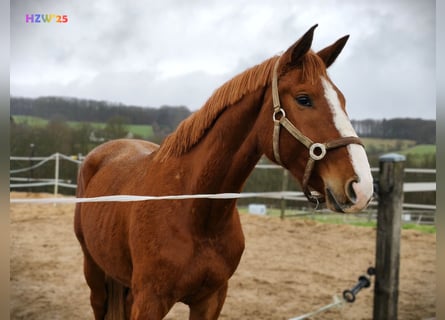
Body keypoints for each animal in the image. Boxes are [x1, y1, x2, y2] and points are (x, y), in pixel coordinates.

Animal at [75, 25, 372, 320]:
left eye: (342, 100)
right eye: (304, 99)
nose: (362, 187)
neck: (195, 213)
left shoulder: (211, 299)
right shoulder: (150, 301)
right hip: (94, 274)